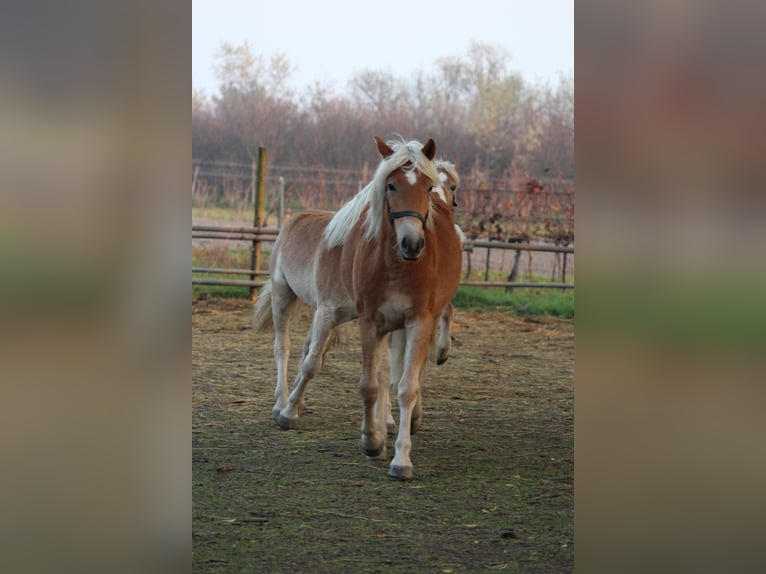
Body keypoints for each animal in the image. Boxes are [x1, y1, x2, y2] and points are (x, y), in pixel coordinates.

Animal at [255, 137, 464, 480]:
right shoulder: (337, 314)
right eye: (390, 185)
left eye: (431, 186)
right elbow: (321, 368)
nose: (412, 244)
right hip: (284, 298)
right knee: (283, 349)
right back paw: (281, 403)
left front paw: (397, 449)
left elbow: (401, 382)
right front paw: (290, 415)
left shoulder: (411, 321)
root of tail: (295, 219)